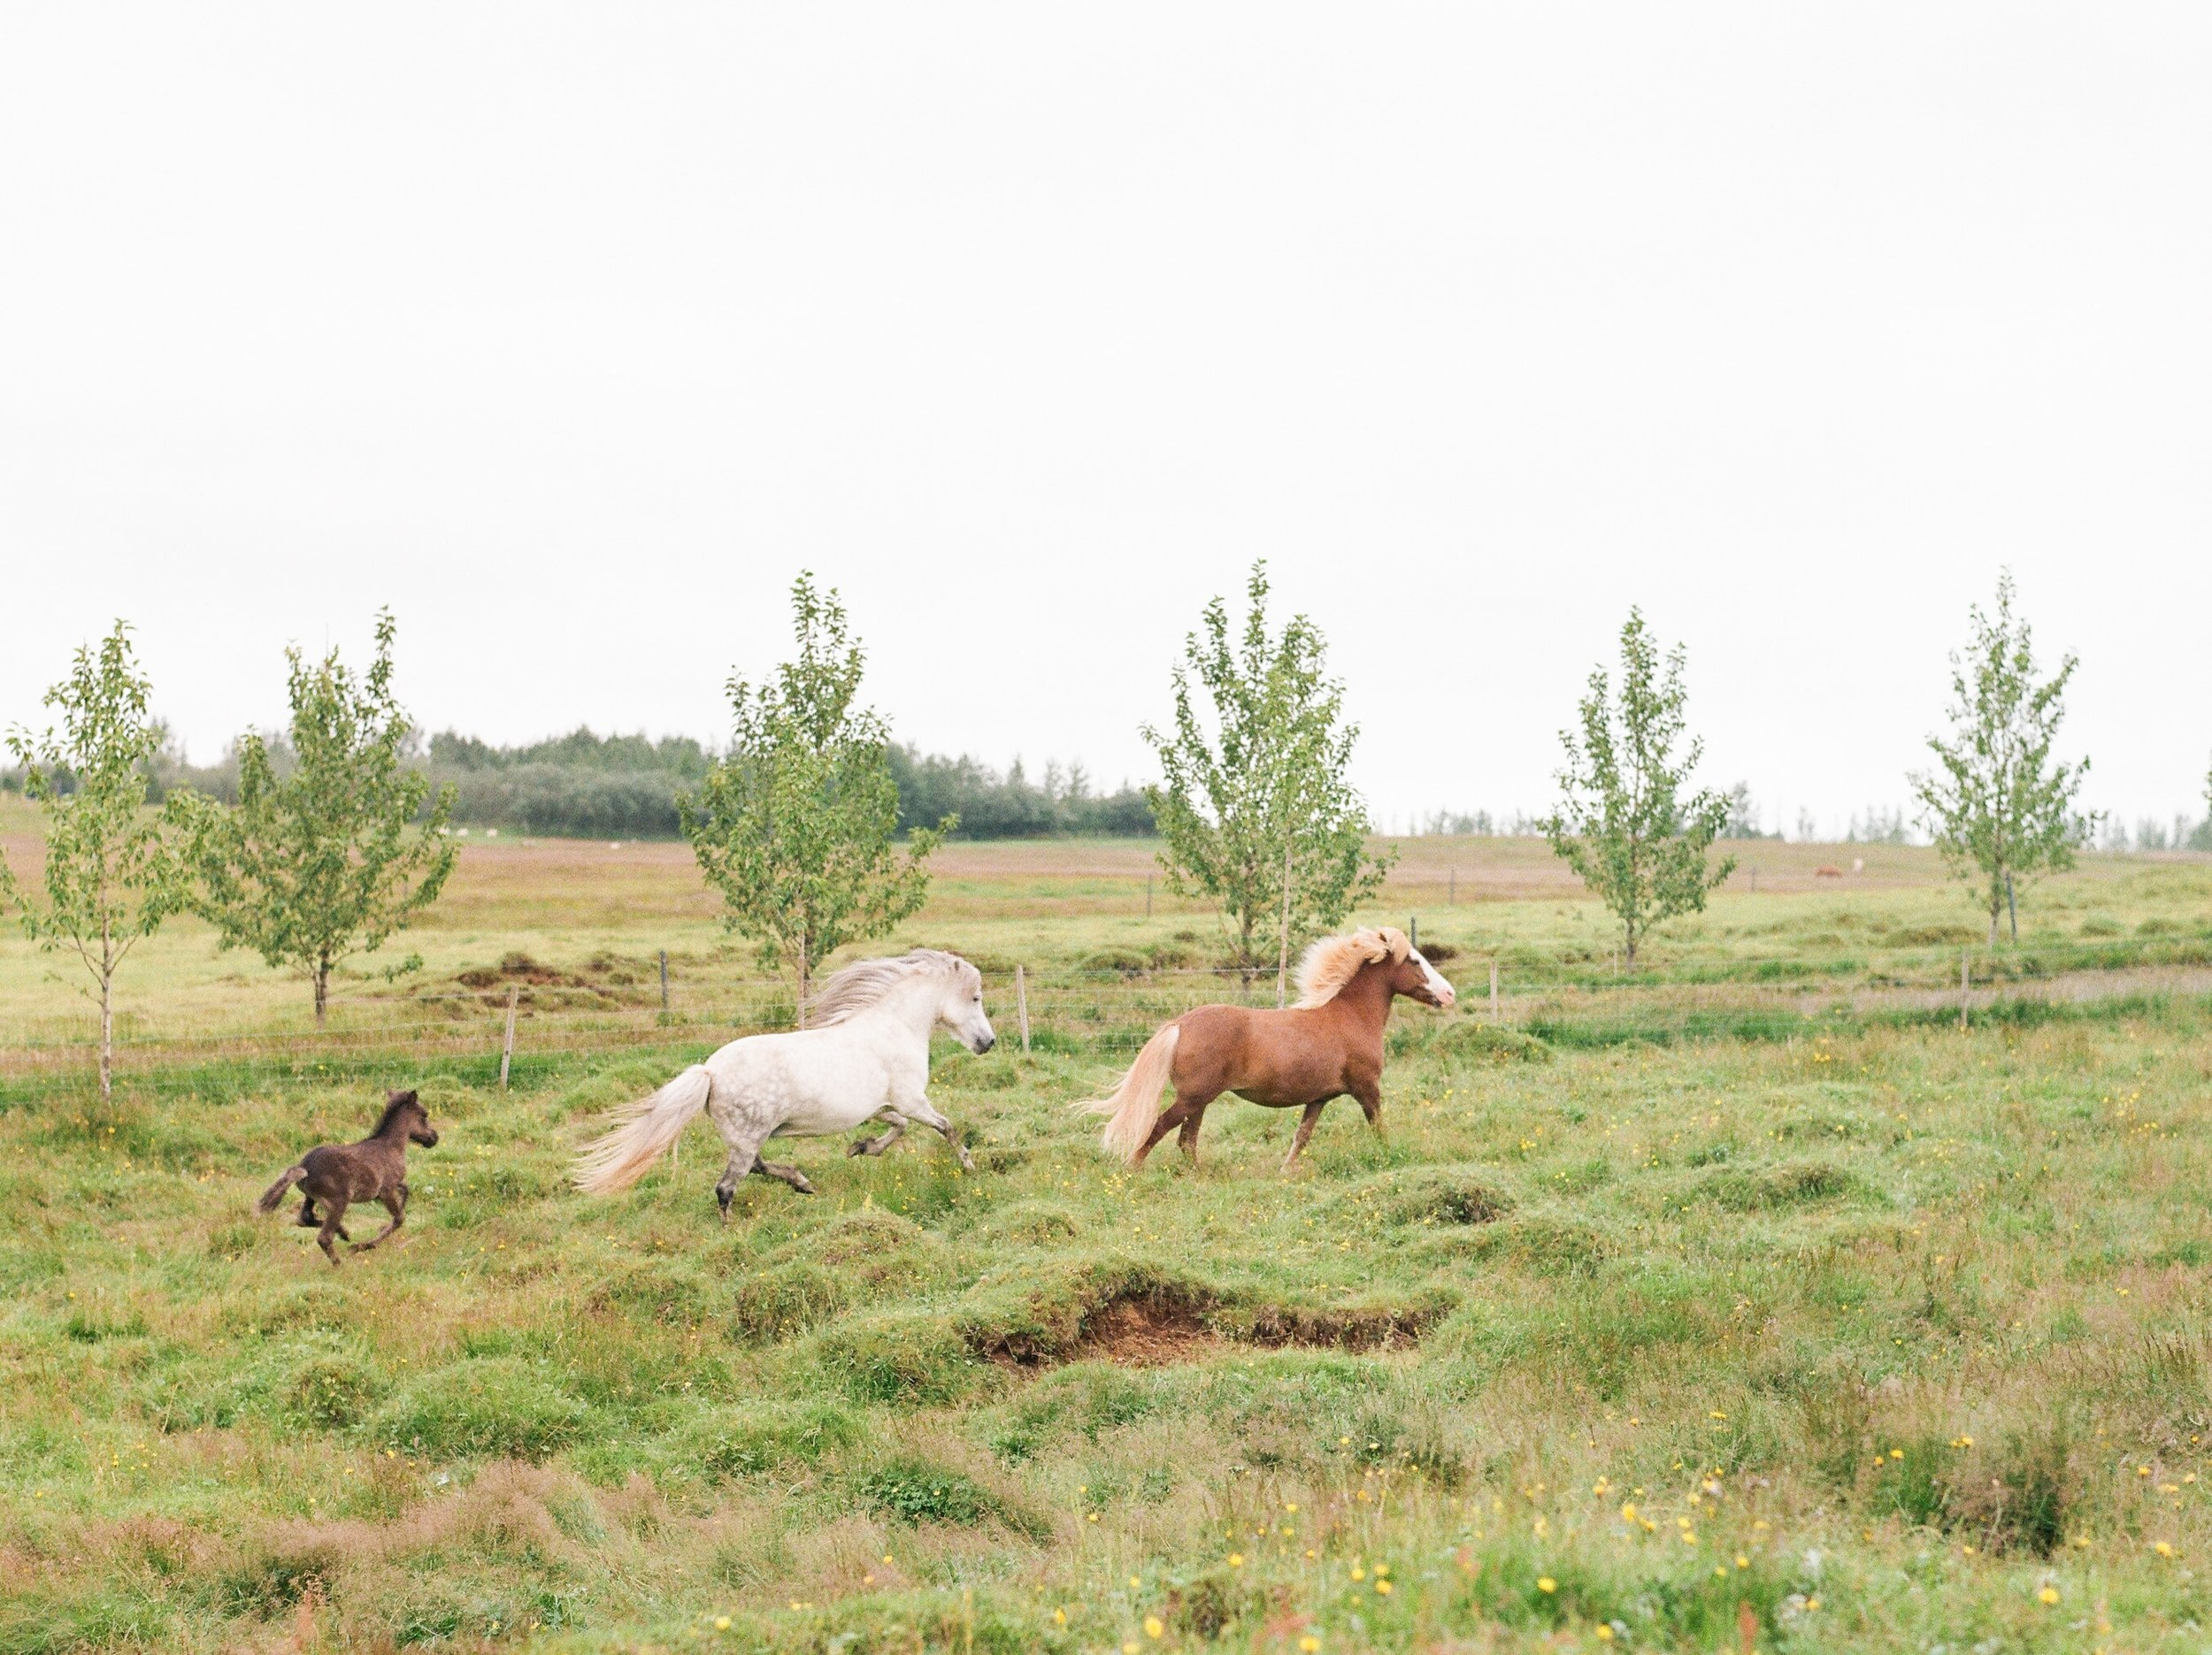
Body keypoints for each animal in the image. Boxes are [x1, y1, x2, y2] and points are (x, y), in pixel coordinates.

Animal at [258, 1092, 440, 1256]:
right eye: (424, 1115)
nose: (434, 1137)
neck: (391, 1146)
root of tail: (304, 1167)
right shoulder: (386, 1190)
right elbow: (399, 1219)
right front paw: (363, 1246)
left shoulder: (391, 1186)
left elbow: (406, 1190)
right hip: (339, 1200)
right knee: (324, 1237)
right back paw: (341, 1260)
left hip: (311, 1197)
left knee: (304, 1219)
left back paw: (344, 1233)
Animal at [571, 942, 995, 1212]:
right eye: (975, 998)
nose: (988, 1042)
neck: (895, 1026)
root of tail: (710, 1072)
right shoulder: (912, 1099)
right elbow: (946, 1127)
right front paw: (969, 1167)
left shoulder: (883, 1105)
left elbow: (898, 1127)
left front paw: (860, 1148)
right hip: (748, 1137)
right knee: (726, 1188)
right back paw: (735, 1233)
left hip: (747, 1137)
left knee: (757, 1167)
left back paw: (802, 1182)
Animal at [1084, 924, 1460, 1168]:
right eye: (1414, 961)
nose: (1449, 994)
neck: (1350, 1016)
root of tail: (1179, 1025)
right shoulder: (1367, 1088)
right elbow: (1378, 1128)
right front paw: (1389, 1158)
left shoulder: (1319, 1098)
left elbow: (1301, 1137)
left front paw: (1285, 1172)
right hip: (1193, 1098)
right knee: (1161, 1130)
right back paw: (1133, 1171)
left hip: (1198, 1102)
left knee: (1186, 1141)